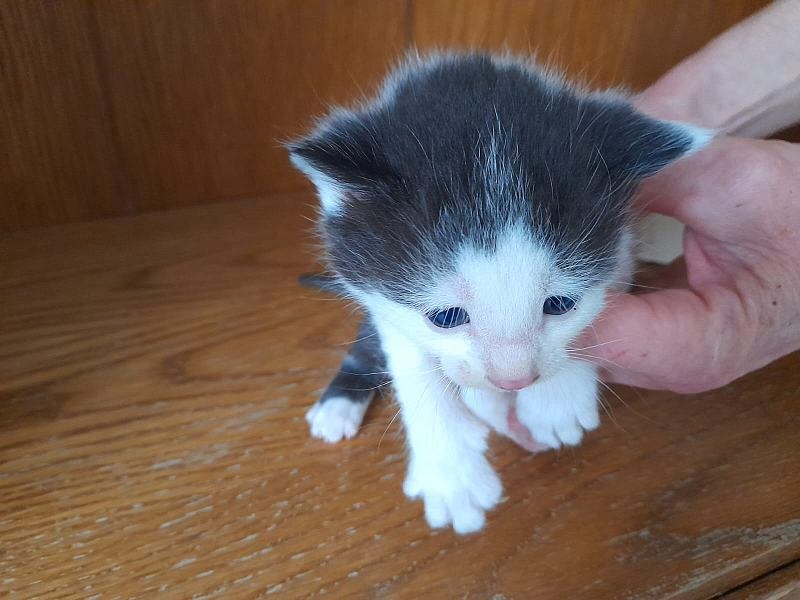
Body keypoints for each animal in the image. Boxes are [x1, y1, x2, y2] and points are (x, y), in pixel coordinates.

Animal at [289, 52, 710, 534]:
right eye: (445, 317)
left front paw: (556, 399)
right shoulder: (382, 300)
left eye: (560, 305)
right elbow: (415, 367)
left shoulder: (621, 252)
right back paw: (338, 406)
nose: (514, 380)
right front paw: (452, 475)